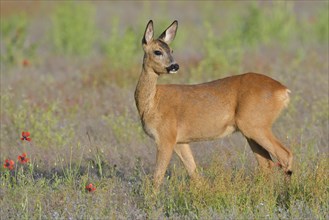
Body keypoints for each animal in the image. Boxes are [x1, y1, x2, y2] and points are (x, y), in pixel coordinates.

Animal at [133, 20, 292, 188]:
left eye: (171, 50)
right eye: (158, 51)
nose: (175, 66)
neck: (152, 103)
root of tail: (283, 90)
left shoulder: (166, 137)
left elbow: (157, 177)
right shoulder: (180, 141)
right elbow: (194, 174)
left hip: (255, 125)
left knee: (285, 155)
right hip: (251, 130)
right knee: (266, 164)